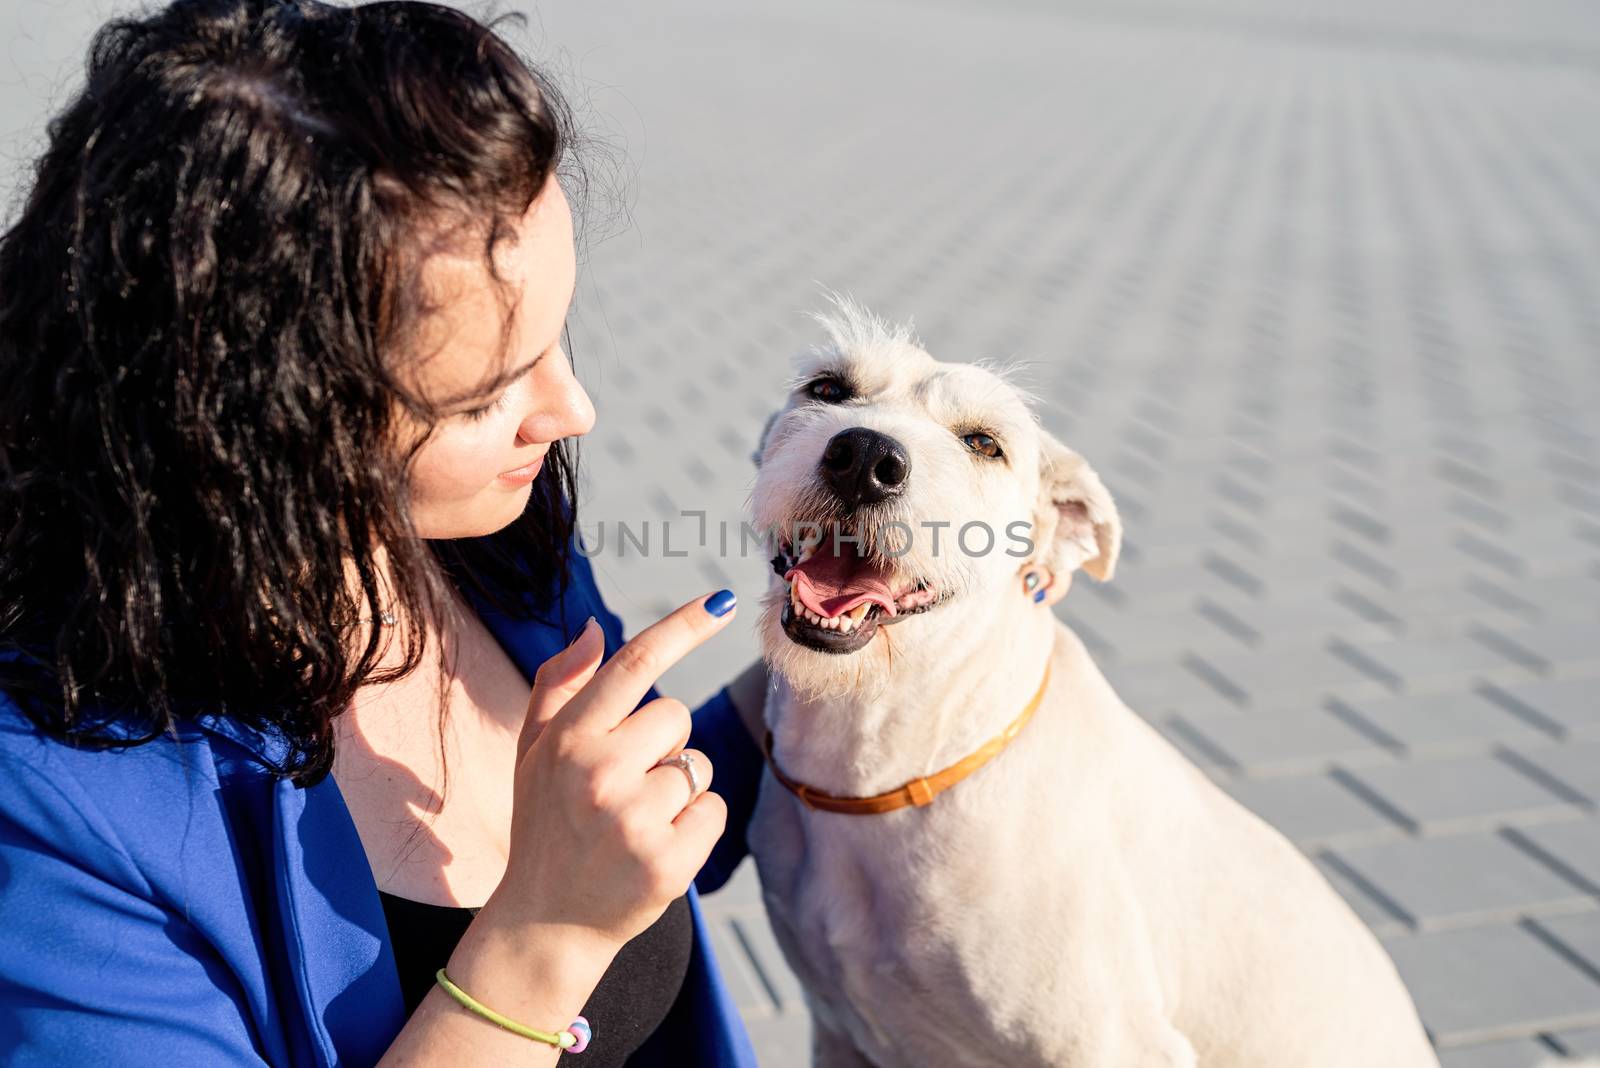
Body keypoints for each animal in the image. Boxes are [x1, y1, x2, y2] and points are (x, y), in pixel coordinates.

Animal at [745, 298, 1440, 1068]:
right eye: (828, 389)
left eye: (984, 443)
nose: (866, 458)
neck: (886, 761)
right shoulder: (838, 1031)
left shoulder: (1117, 1043)